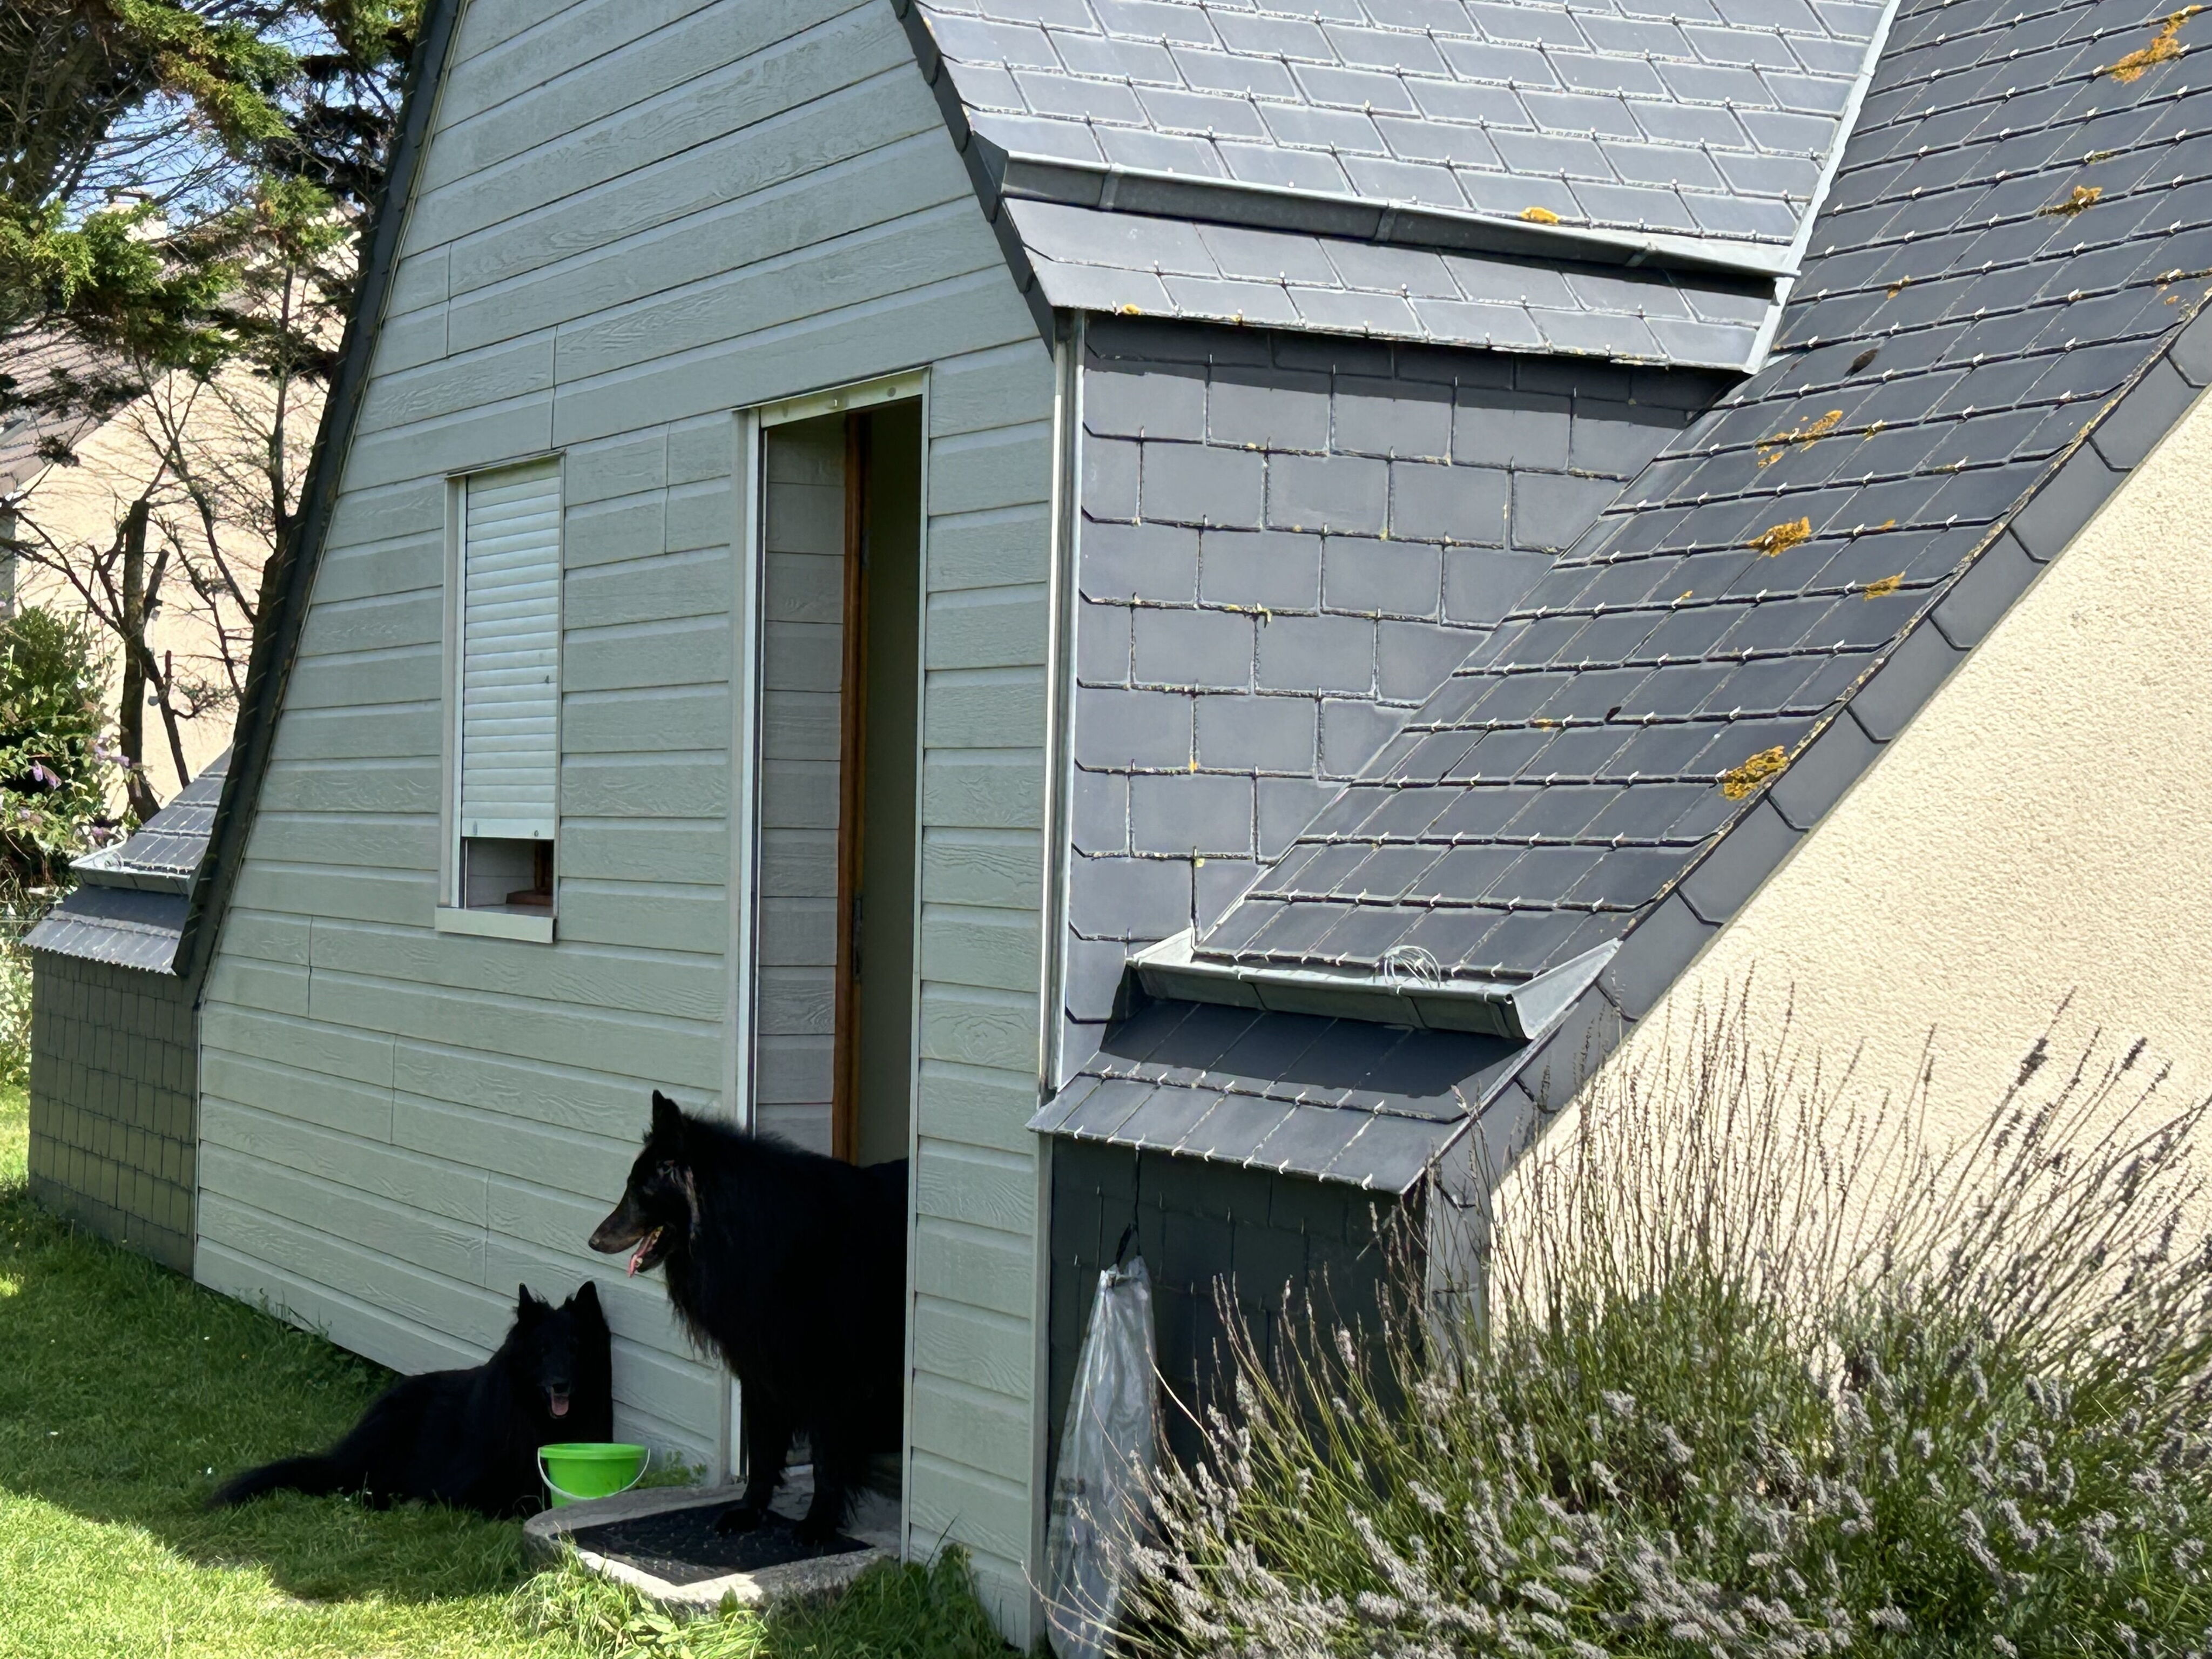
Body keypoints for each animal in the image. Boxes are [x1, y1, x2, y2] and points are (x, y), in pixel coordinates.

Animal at [211, 1282, 612, 1518]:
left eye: (575, 1348)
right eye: (542, 1350)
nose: (560, 1386)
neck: (534, 1414)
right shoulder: (472, 1488)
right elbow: (521, 1504)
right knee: (358, 1488)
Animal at [588, 1091, 906, 1543]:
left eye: (639, 1190)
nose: (594, 1241)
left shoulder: (828, 1376)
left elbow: (827, 1457)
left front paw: (818, 1523)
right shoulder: (759, 1365)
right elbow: (761, 1447)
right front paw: (749, 1510)